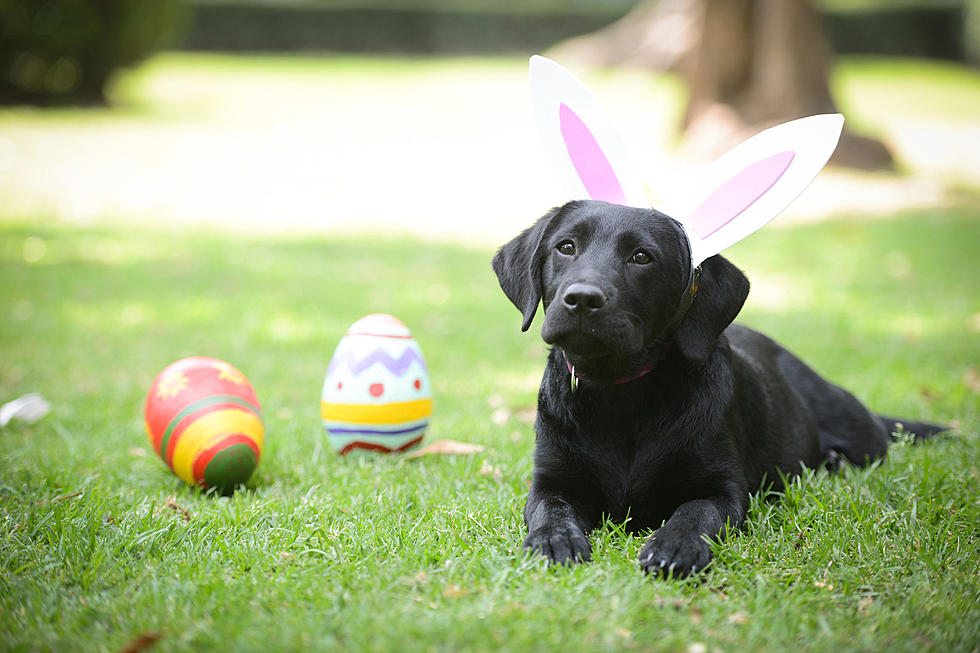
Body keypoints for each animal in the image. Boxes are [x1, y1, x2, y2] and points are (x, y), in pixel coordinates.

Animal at [494, 200, 944, 576]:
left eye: (642, 256)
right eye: (565, 247)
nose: (583, 299)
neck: (620, 395)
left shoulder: (723, 489)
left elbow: (695, 513)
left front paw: (674, 546)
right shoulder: (551, 482)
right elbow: (551, 512)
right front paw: (553, 542)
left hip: (859, 435)